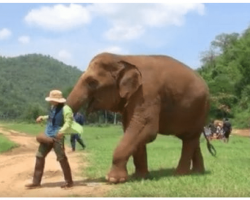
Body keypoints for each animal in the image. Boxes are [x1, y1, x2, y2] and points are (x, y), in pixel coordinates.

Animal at [66, 52, 215, 184]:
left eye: (92, 82)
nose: (69, 183)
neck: (123, 58)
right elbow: (133, 129)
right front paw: (140, 177)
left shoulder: (148, 93)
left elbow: (146, 128)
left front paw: (113, 180)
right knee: (192, 139)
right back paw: (197, 172)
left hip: (200, 109)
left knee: (189, 140)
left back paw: (179, 174)